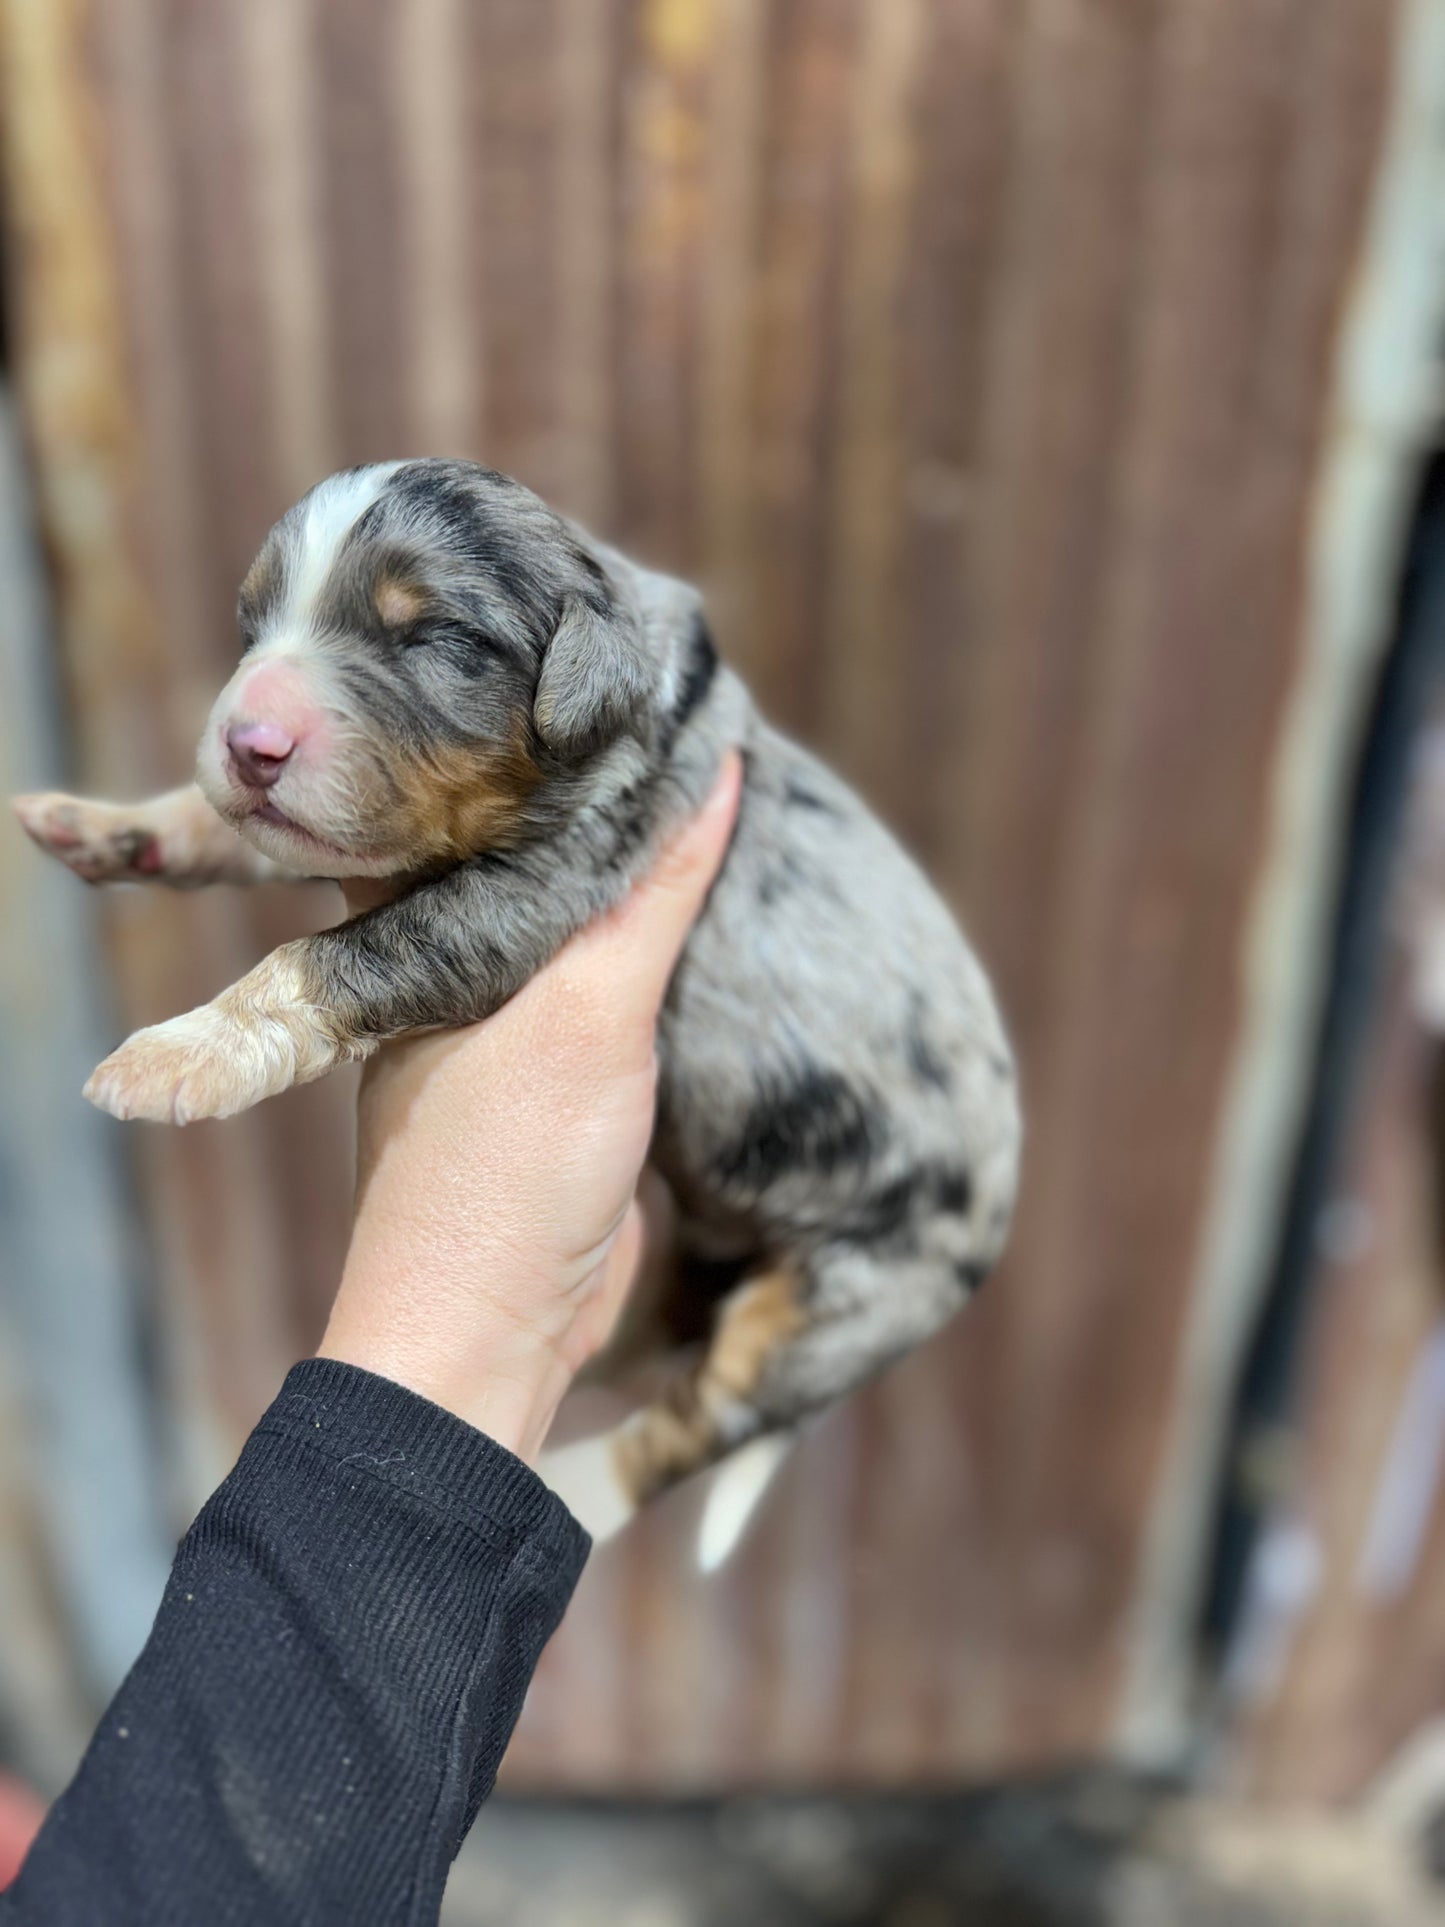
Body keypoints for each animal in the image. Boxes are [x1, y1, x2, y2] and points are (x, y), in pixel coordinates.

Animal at [16, 458, 1024, 1557]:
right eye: (249, 628)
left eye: (437, 638)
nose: (250, 742)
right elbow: (237, 834)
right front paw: (100, 824)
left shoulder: (532, 891)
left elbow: (321, 956)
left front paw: (169, 1057)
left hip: (843, 1301)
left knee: (697, 1419)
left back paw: (573, 1483)